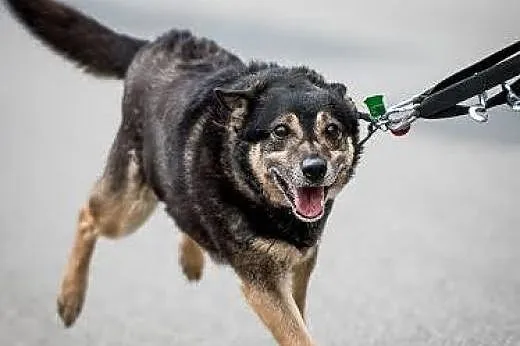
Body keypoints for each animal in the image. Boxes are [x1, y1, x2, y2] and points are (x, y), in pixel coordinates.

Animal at [4, 0, 362, 344]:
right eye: (280, 131)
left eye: (332, 130)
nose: (315, 169)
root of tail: (154, 44)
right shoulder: (263, 284)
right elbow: (297, 335)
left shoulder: (300, 265)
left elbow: (300, 319)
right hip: (129, 206)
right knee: (87, 216)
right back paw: (70, 298)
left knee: (183, 207)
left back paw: (191, 255)